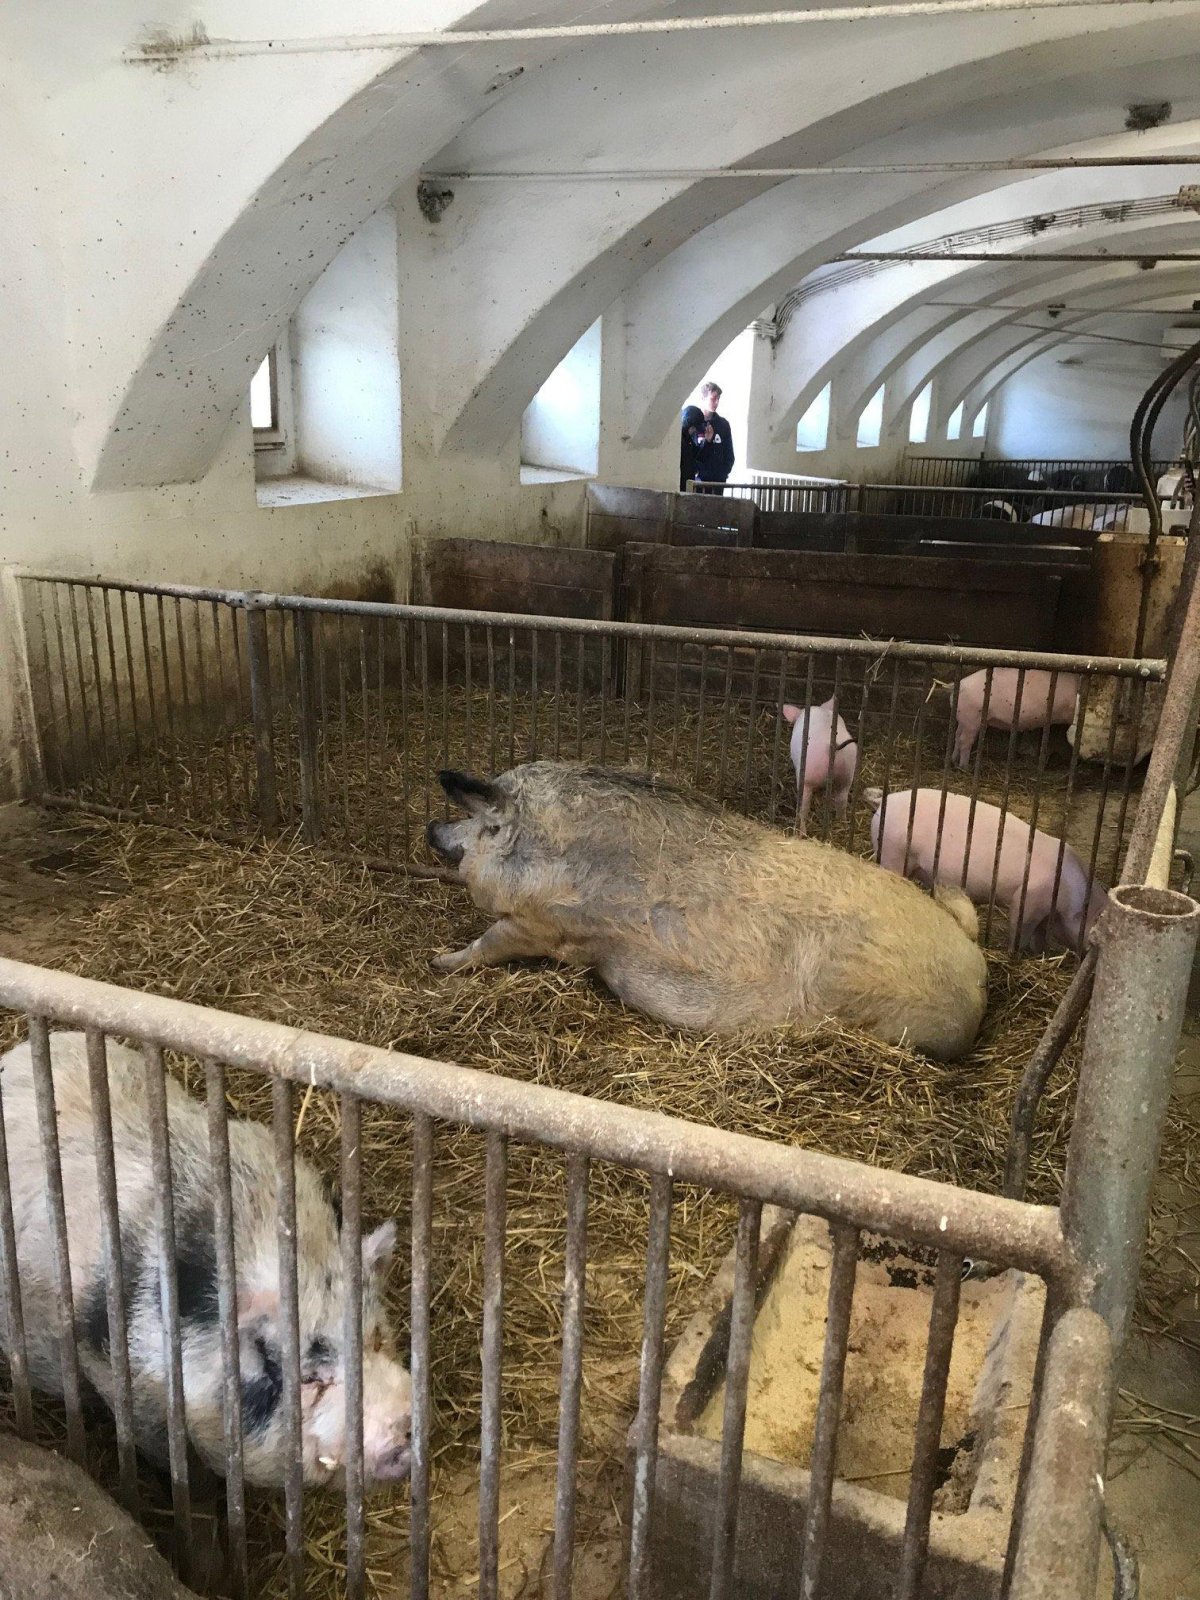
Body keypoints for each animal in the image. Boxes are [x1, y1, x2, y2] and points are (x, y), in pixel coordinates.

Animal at [426, 762, 987, 1060]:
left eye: (478, 822)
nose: (432, 827)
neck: (543, 853)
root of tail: (978, 974)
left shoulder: (542, 924)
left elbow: (489, 943)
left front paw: (438, 962)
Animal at [782, 699, 857, 834]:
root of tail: (833, 746)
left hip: (807, 777)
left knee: (803, 809)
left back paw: (800, 833)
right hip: (847, 775)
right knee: (842, 801)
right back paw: (842, 825)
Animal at [864, 787, 1108, 953]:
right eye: (1095, 922)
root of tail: (884, 801)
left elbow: (1038, 935)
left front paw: (1040, 953)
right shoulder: (1028, 897)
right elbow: (1019, 927)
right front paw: (1015, 953)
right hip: (892, 853)